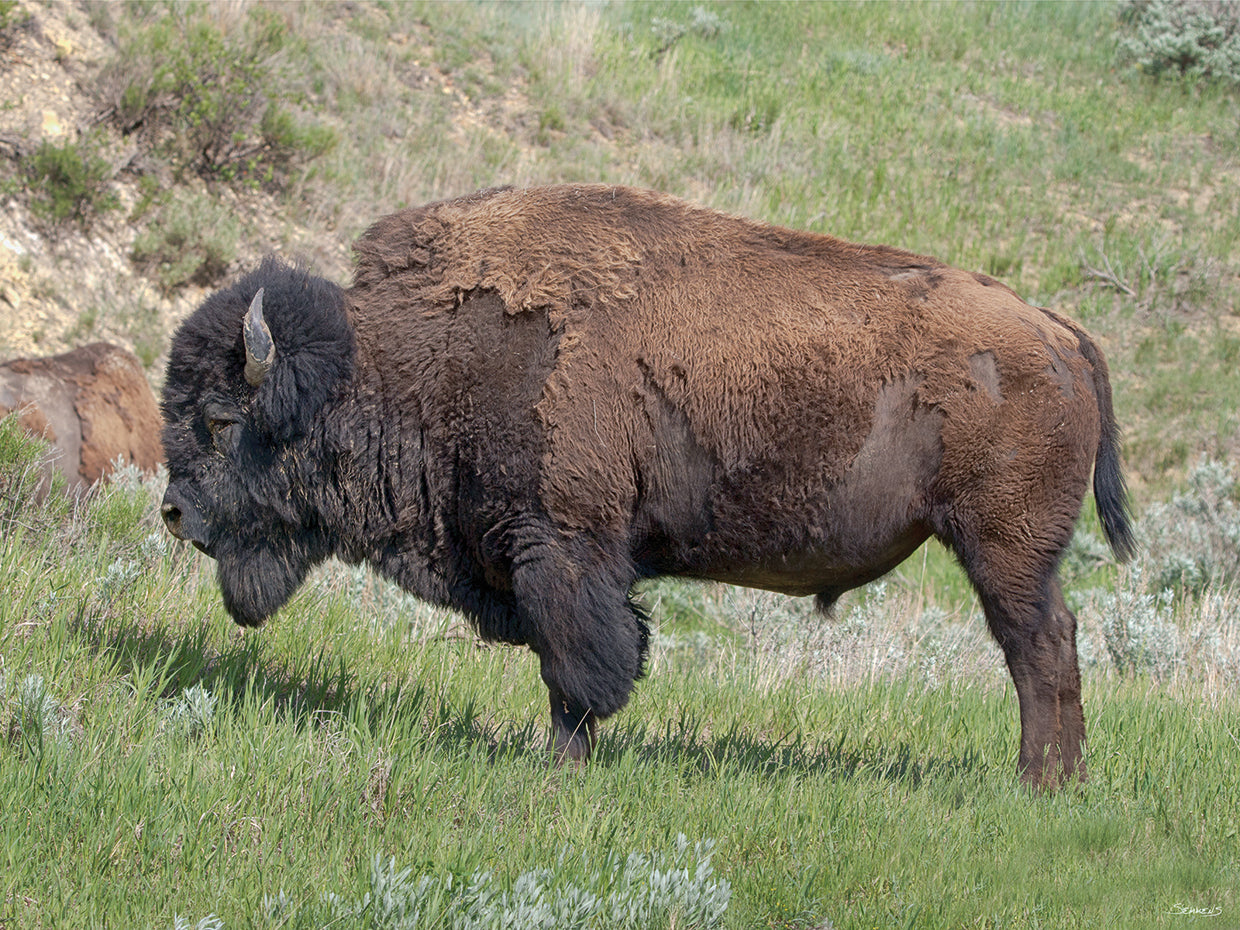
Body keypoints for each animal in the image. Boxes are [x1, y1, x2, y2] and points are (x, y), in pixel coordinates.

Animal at [160, 184, 1134, 788]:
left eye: (218, 418)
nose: (172, 512)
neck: (405, 360)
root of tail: (1055, 328)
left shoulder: (560, 551)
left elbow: (581, 669)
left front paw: (561, 770)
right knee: (1049, 646)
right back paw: (1062, 782)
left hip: (1001, 547)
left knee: (1039, 649)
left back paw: (1039, 785)